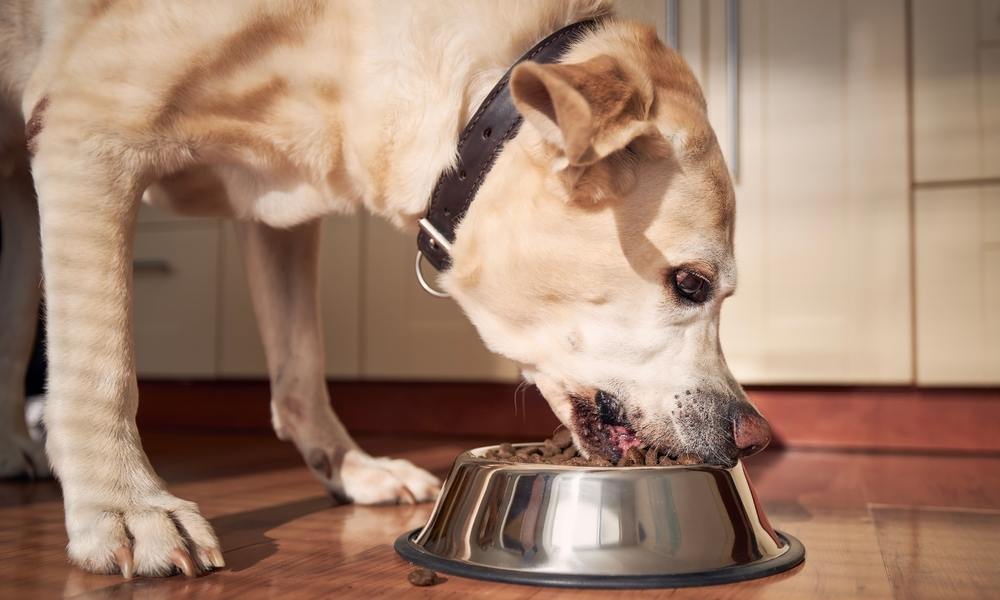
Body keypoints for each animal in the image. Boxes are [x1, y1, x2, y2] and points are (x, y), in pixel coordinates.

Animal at [0, 1, 772, 580]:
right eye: (691, 283)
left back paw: (13, 450)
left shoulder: (280, 211)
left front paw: (349, 469)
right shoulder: (87, 135)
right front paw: (125, 508)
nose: (756, 436)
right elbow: (101, 366)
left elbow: (301, 367)